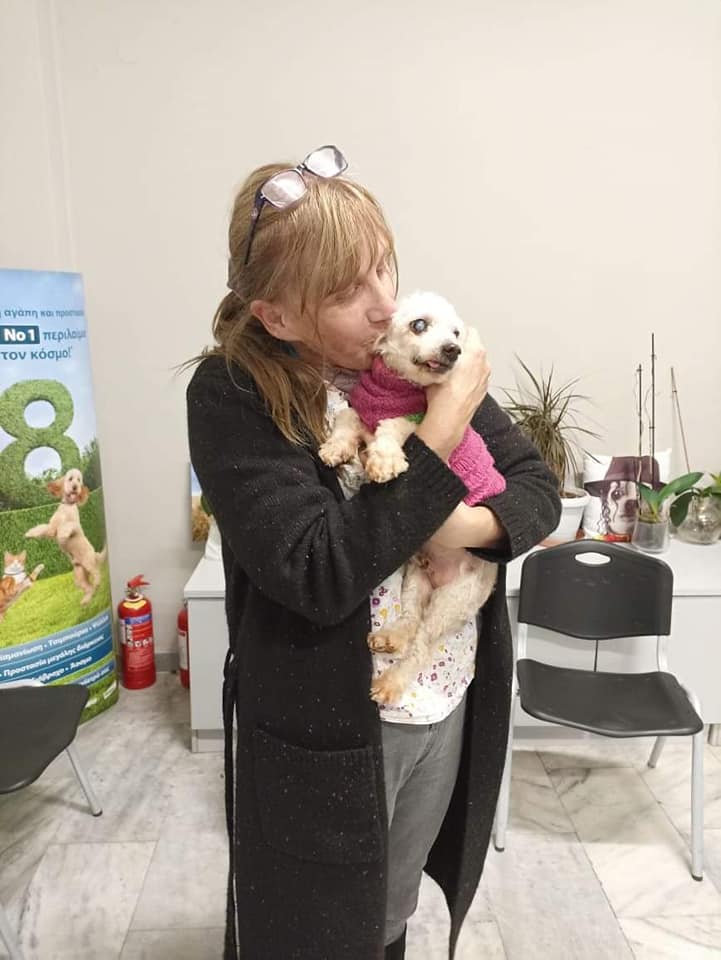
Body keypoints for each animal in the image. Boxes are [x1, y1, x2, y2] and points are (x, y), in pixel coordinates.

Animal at [25, 468, 107, 606]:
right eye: (70, 479)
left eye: (79, 480)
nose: (75, 487)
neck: (67, 507)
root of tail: (95, 555)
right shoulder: (51, 529)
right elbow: (42, 528)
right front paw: (30, 533)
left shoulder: (75, 527)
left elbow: (69, 526)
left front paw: (63, 534)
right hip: (79, 575)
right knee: (88, 587)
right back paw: (86, 600)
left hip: (89, 563)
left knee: (97, 574)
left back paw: (97, 585)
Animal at [319, 291, 503, 705]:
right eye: (419, 325)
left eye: (456, 333)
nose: (452, 350)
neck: (392, 388)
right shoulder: (361, 413)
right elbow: (347, 421)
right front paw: (337, 448)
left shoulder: (411, 420)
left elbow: (391, 428)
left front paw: (384, 459)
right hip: (417, 578)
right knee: (410, 618)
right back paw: (391, 636)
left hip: (453, 600)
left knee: (421, 644)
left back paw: (390, 682)